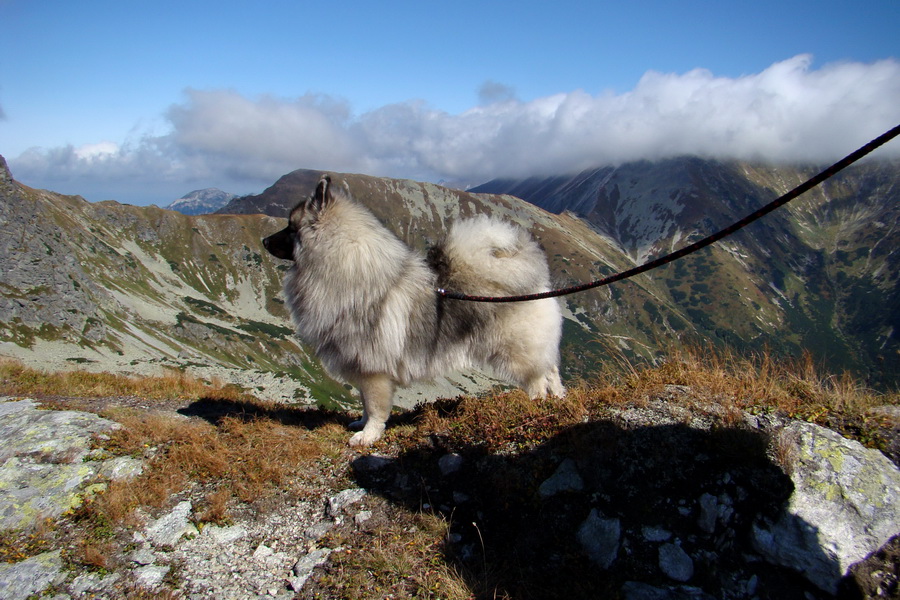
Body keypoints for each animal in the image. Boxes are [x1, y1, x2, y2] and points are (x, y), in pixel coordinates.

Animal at [260, 173, 564, 446]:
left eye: (290, 229)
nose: (263, 241)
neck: (346, 267)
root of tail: (533, 277)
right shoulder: (362, 368)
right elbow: (363, 403)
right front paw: (360, 423)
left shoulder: (373, 371)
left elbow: (375, 408)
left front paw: (368, 436)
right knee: (551, 371)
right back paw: (559, 400)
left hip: (516, 353)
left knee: (537, 379)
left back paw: (534, 405)